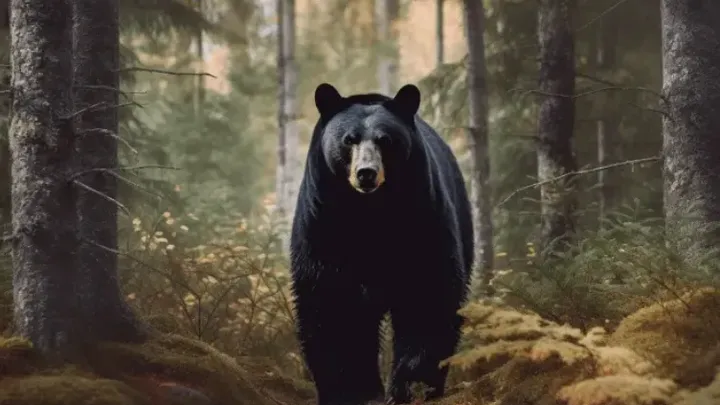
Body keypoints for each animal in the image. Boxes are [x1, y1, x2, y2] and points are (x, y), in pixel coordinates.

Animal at [289, 82, 474, 405]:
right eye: (349, 139)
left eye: (385, 140)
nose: (366, 173)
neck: (371, 215)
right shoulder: (322, 224)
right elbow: (332, 303)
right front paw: (352, 390)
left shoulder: (423, 218)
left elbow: (427, 296)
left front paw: (410, 386)